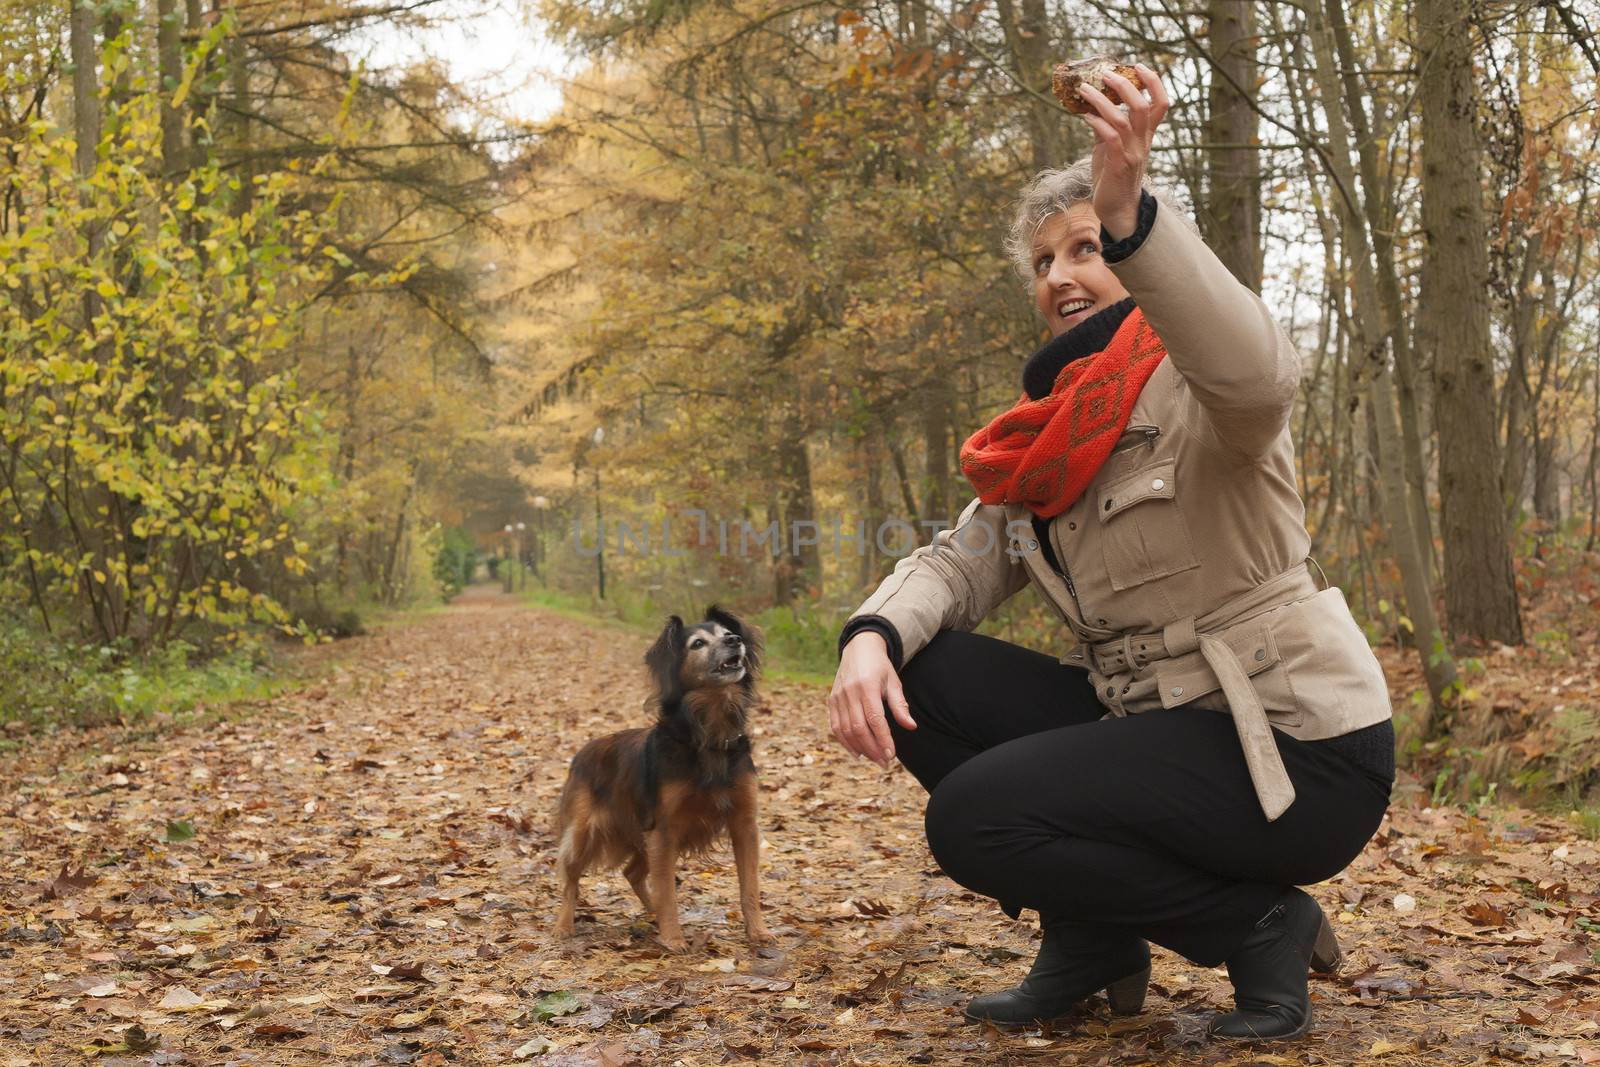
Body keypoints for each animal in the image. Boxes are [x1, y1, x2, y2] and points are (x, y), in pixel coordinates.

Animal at [553, 601, 771, 953]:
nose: (735, 640)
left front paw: (758, 932)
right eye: (697, 644)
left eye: (727, 633)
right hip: (586, 832)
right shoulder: (665, 829)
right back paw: (563, 925)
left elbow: (749, 886)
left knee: (632, 872)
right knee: (570, 877)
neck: (707, 735)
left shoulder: (743, 824)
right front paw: (673, 938)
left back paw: (651, 912)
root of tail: (583, 750)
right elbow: (667, 888)